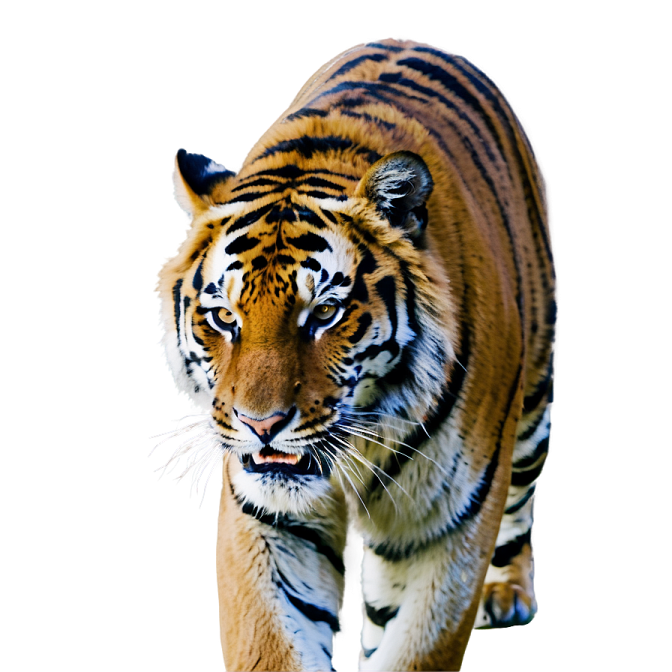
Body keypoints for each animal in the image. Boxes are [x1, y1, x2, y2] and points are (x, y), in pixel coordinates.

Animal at [153, 36, 557, 671]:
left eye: (324, 314)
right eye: (224, 317)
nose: (260, 425)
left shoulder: (443, 530)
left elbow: (417, 647)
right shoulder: (268, 522)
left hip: (534, 397)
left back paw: (505, 593)